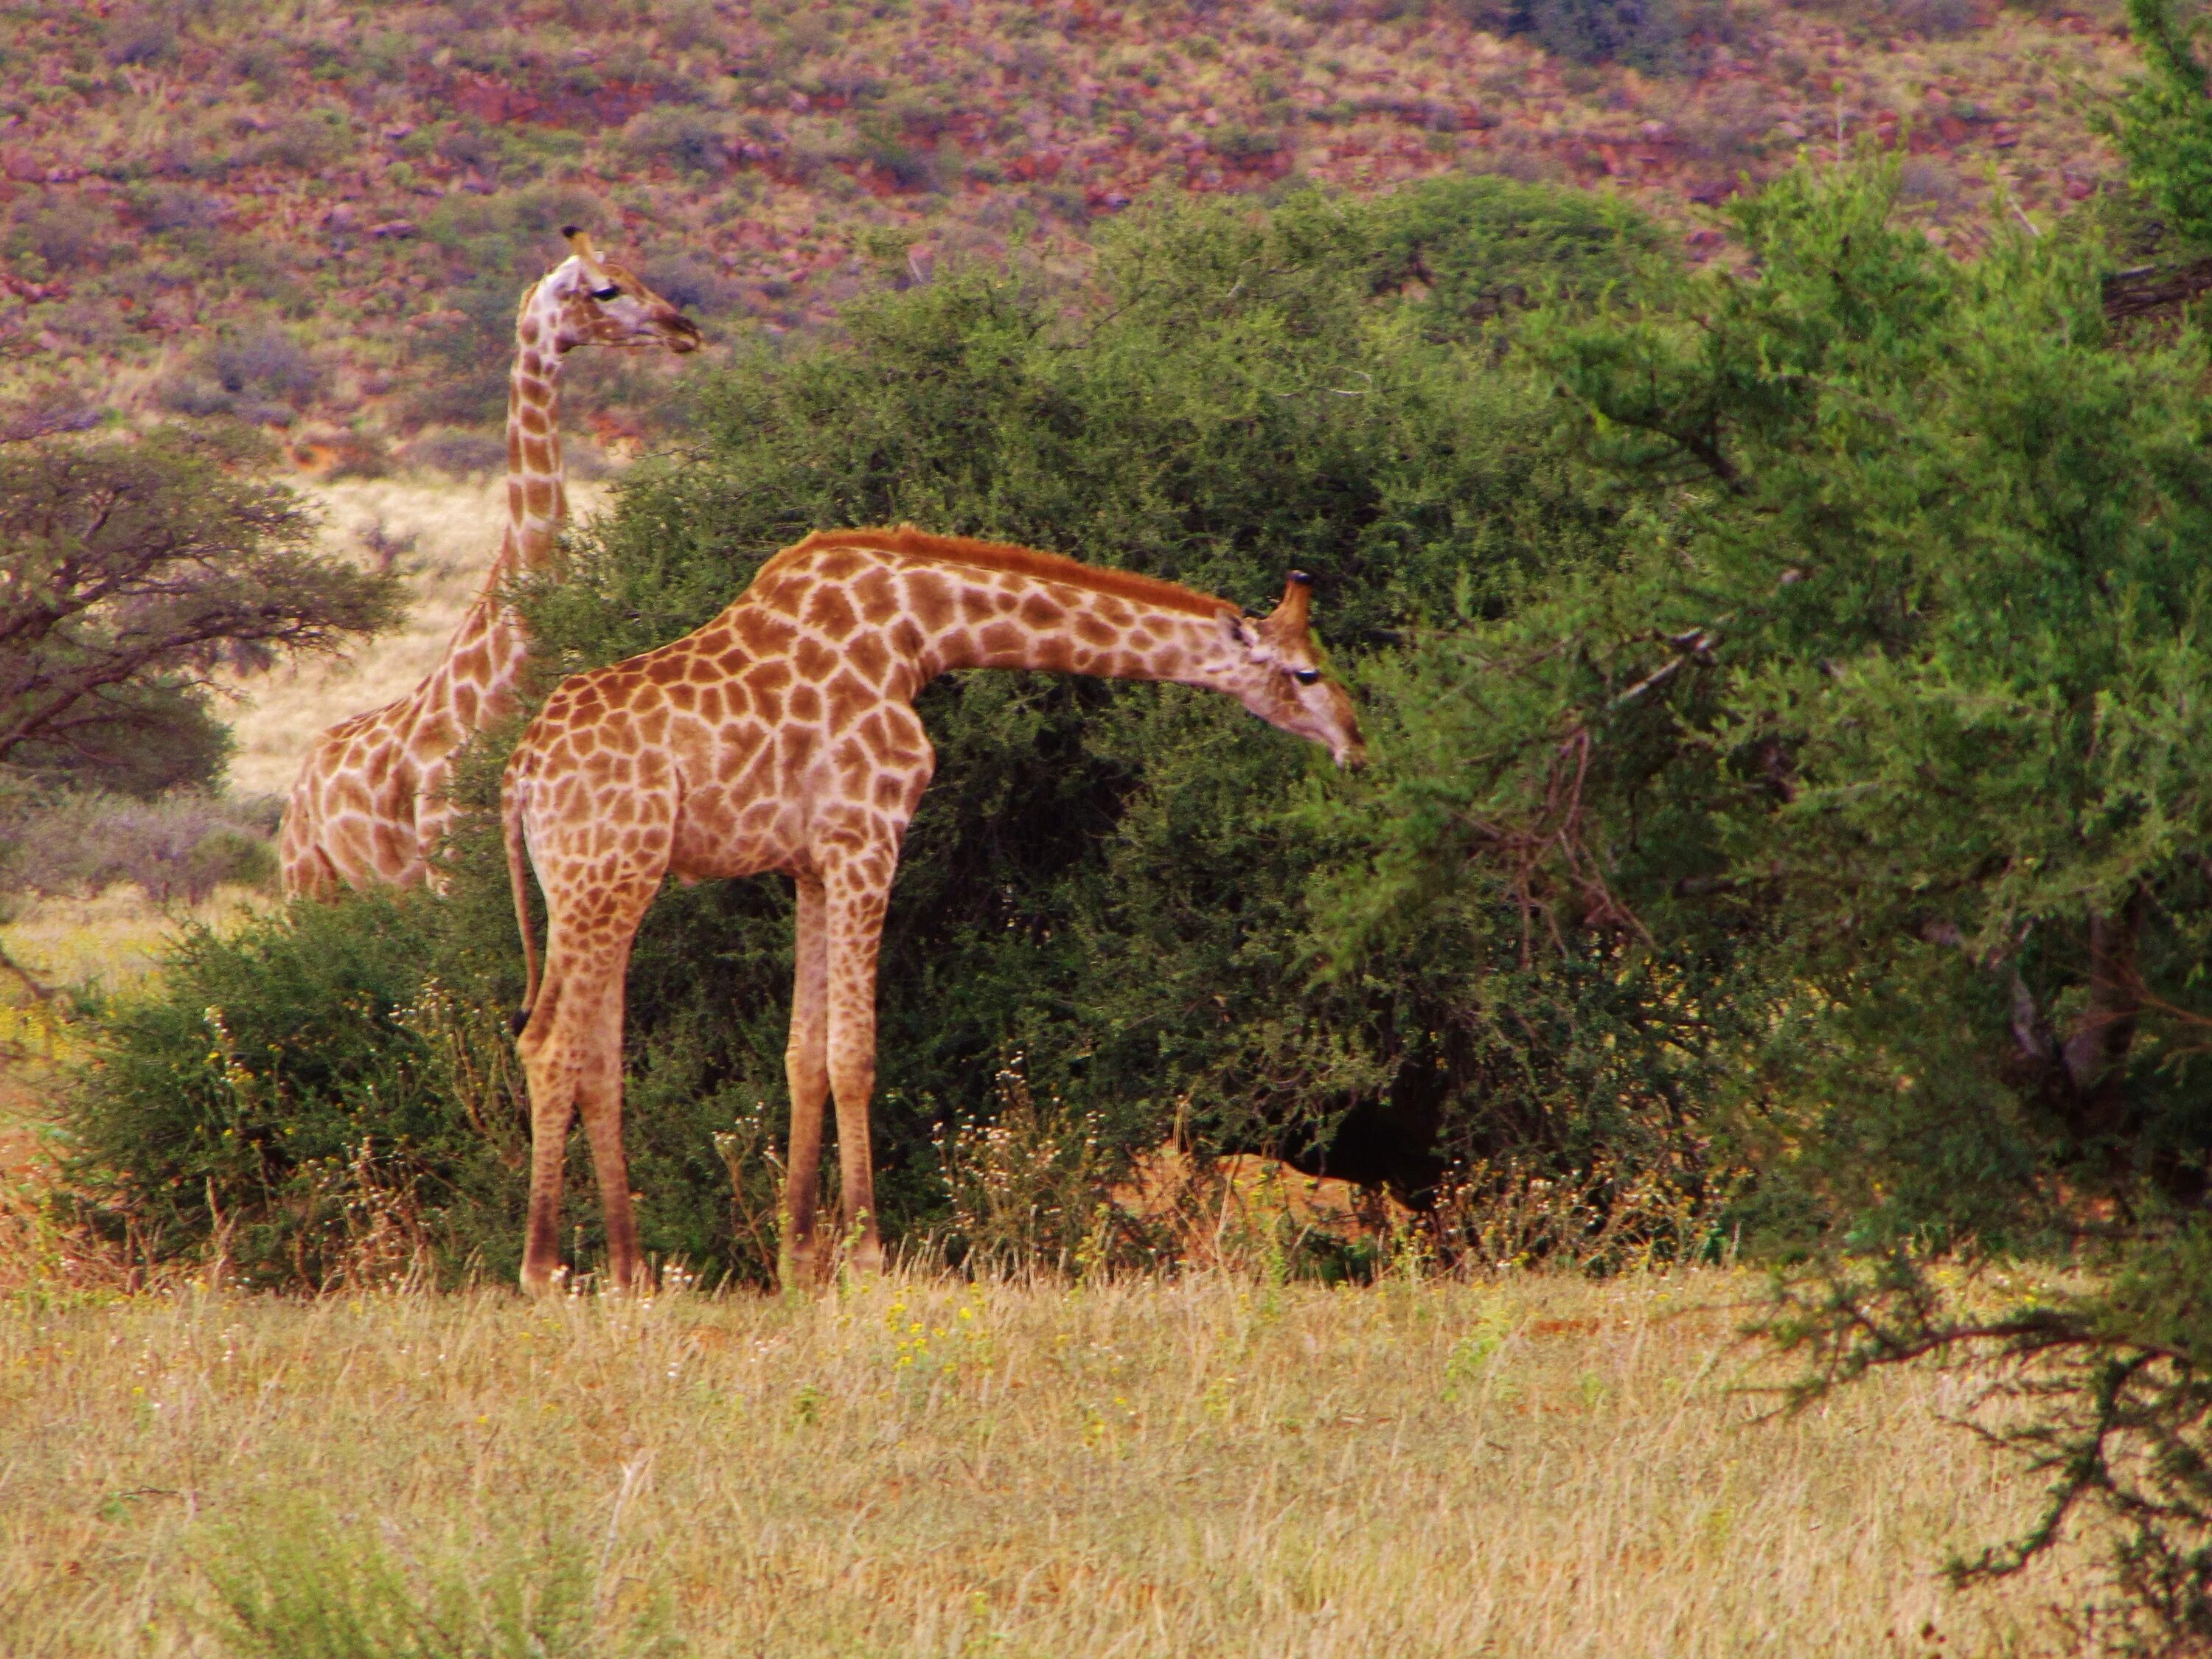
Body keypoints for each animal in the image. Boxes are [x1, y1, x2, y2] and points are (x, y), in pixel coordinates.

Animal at [502, 526, 1363, 1292]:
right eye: (1308, 673)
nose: (1356, 744)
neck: (919, 633)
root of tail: (518, 774)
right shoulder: (867, 837)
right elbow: (854, 1056)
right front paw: (868, 1261)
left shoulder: (813, 864)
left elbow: (803, 1055)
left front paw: (799, 1263)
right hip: (604, 872)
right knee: (547, 1044)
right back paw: (542, 1272)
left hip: (607, 881)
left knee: (597, 1059)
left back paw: (629, 1274)